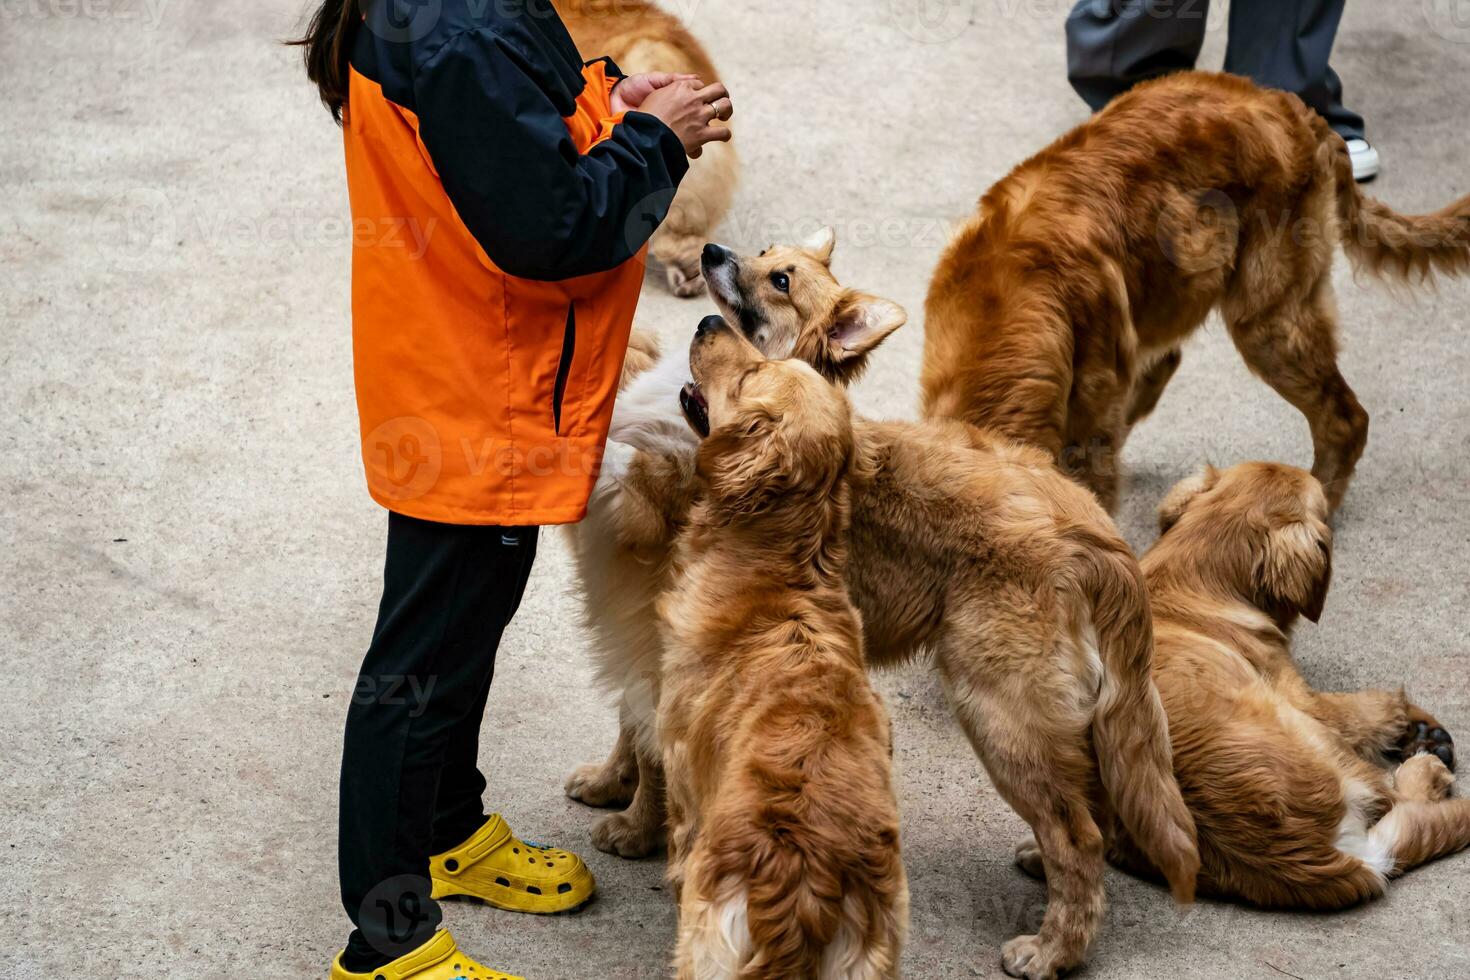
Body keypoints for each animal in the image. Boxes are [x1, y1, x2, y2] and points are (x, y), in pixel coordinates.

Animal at [561, 230, 1193, 980]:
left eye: (779, 281)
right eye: (766, 251)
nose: (712, 255)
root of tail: (1093, 530)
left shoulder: (651, 608)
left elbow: (655, 743)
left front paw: (637, 827)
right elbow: (631, 728)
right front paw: (612, 784)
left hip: (1000, 714)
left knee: (1079, 836)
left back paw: (1053, 949)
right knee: (1088, 805)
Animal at [917, 69, 1470, 514]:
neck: (1006, 289)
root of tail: (1295, 109)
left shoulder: (1091, 413)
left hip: (1267, 320)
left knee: (1345, 418)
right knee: (1166, 360)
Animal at [1076, 464, 1464, 910]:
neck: (1192, 576)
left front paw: (1424, 729)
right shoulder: (1301, 696)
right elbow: (1368, 708)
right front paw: (1406, 722)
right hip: (1310, 733)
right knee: (1394, 794)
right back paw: (1426, 770)